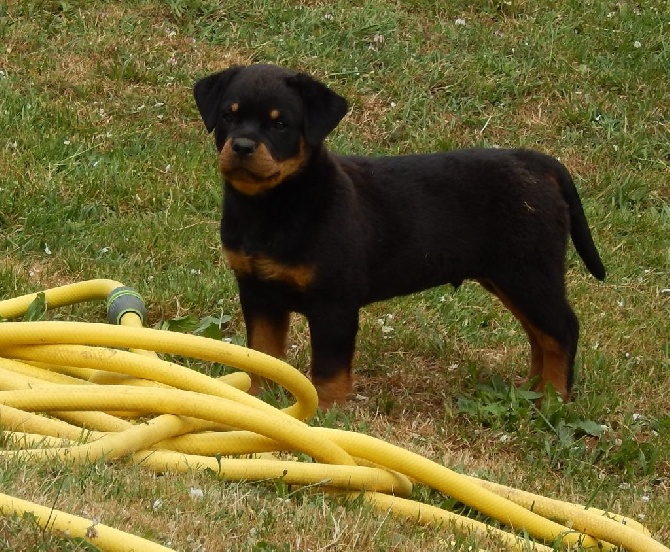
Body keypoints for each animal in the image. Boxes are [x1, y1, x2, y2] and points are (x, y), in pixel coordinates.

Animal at [194, 63, 608, 410]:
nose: (242, 146)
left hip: (528, 272)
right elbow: (261, 354)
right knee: (540, 335)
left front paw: (325, 416)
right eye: (229, 116)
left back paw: (553, 398)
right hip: (512, 278)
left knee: (562, 331)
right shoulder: (258, 293)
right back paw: (532, 391)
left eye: (280, 125)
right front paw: (257, 402)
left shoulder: (334, 302)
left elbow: (328, 368)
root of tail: (536, 162)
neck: (273, 207)